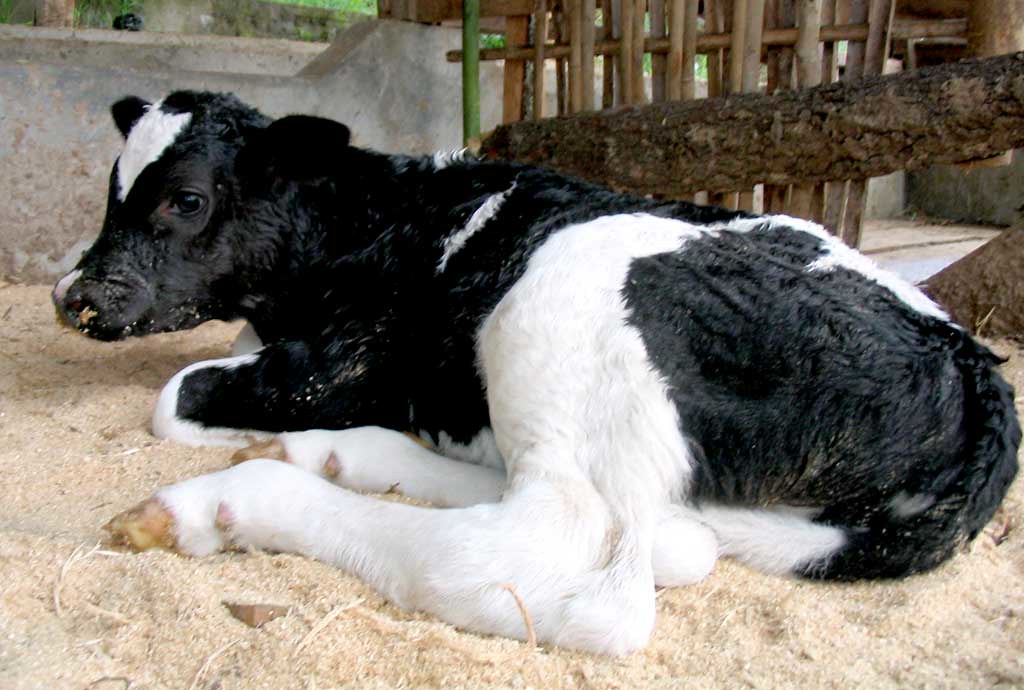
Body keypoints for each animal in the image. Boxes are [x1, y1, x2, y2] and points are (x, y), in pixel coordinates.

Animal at [52, 91, 1019, 654]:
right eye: (110, 190)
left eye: (185, 200)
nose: (73, 296)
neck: (371, 218)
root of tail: (973, 368)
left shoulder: (346, 360)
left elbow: (173, 397)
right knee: (649, 528)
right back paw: (339, 455)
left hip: (558, 290)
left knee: (565, 562)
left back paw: (223, 502)